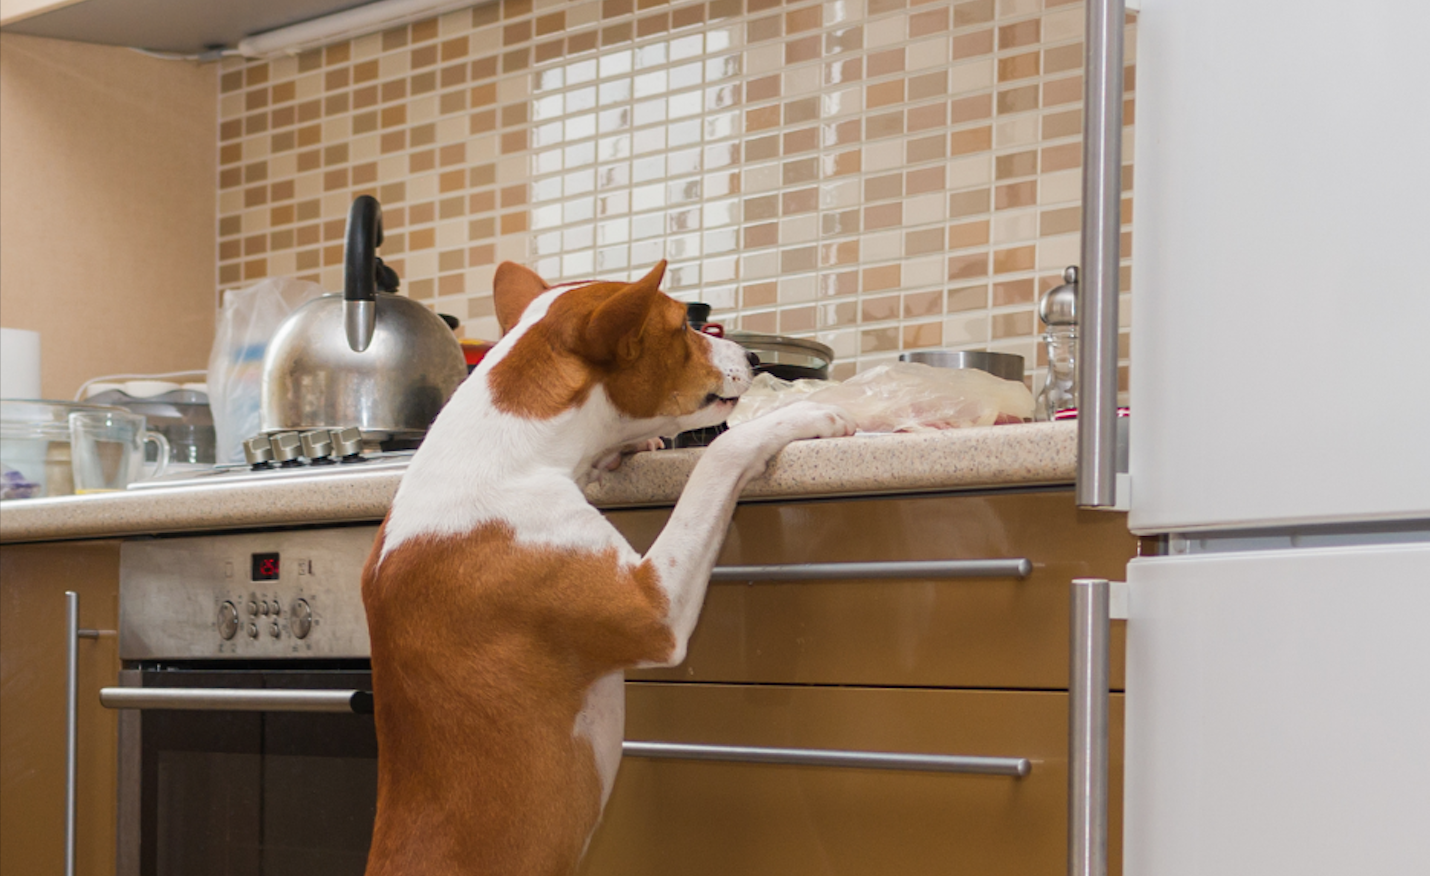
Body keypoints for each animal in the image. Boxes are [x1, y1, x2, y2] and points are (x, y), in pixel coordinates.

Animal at [363, 255, 846, 868]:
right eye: (684, 326)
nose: (755, 358)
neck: (502, 454)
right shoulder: (656, 612)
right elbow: (719, 453)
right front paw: (806, 414)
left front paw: (633, 448)